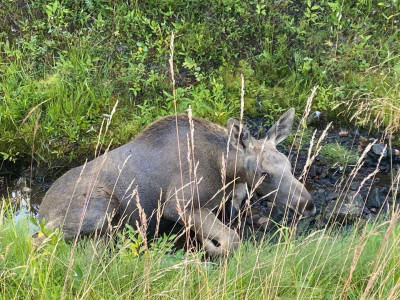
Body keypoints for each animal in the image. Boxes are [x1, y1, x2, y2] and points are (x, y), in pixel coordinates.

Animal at [36, 108, 314, 255]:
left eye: (289, 165)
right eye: (264, 173)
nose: (308, 204)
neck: (226, 171)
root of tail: (41, 212)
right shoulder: (177, 205)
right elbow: (231, 240)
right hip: (100, 207)